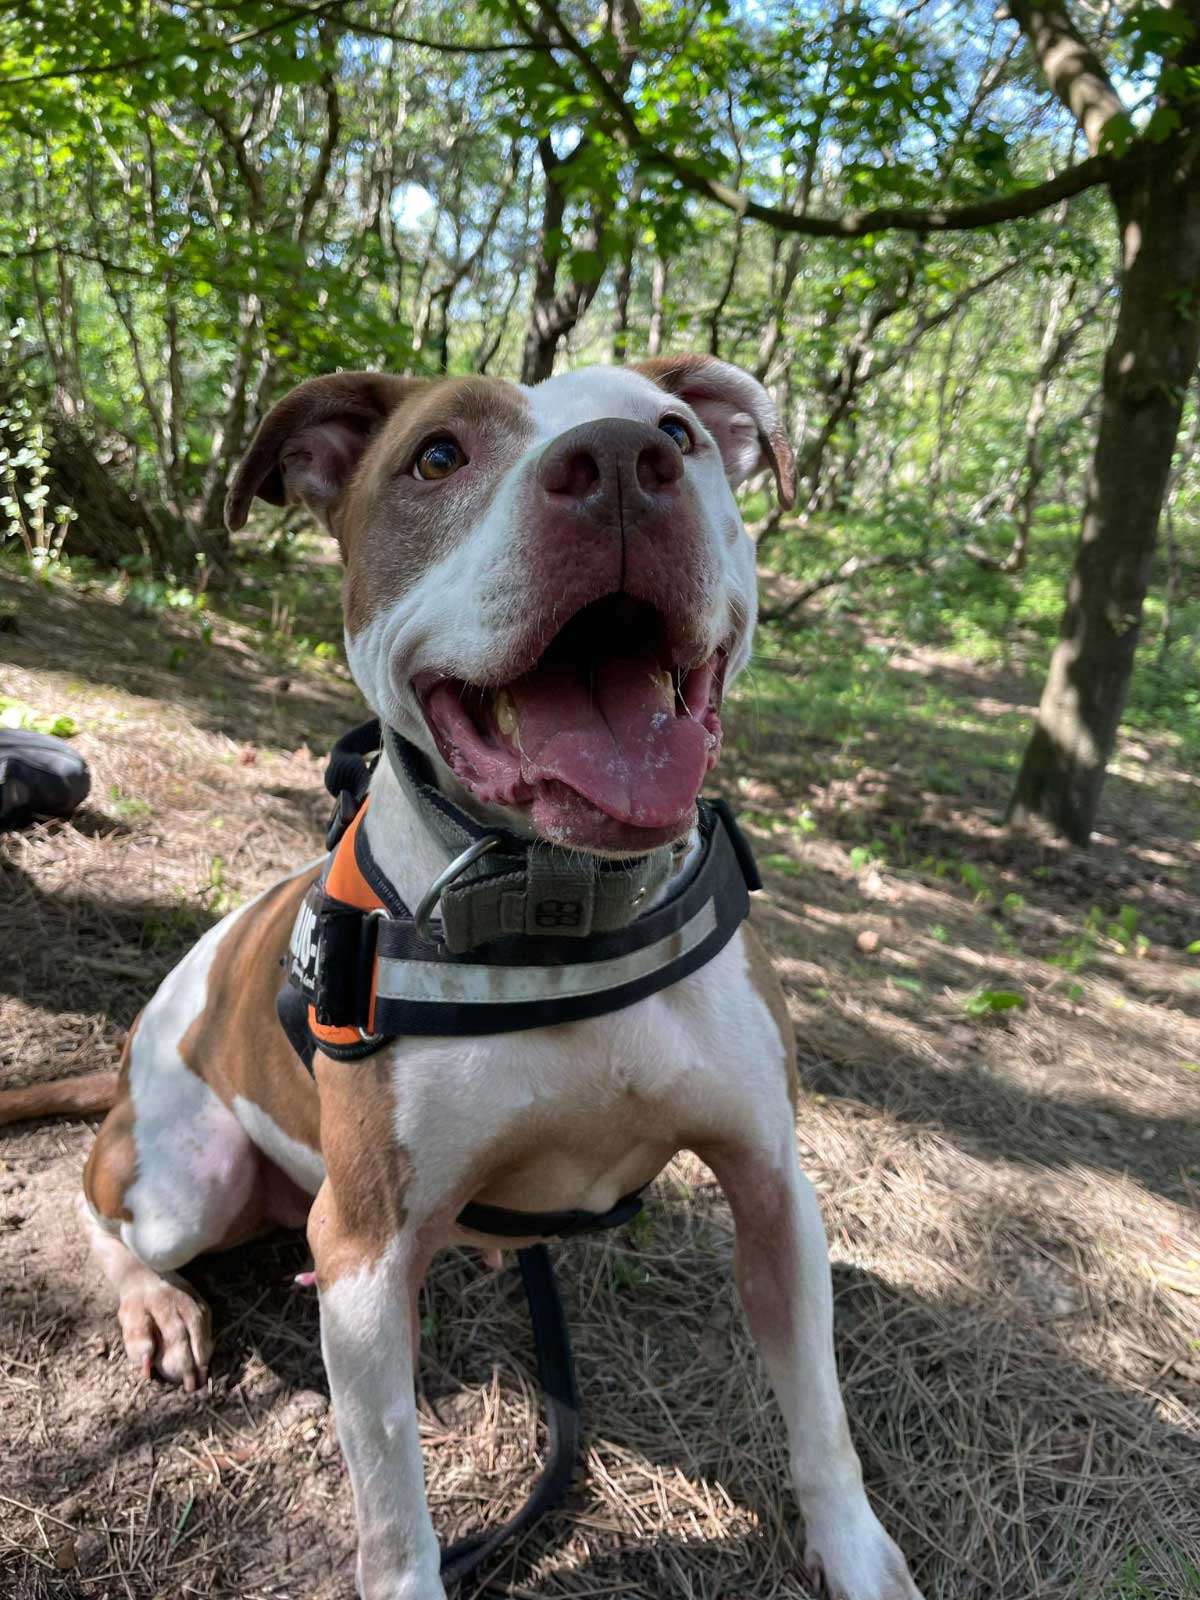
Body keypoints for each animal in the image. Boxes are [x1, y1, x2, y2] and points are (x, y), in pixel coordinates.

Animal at [14, 360, 928, 1600]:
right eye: (437, 456)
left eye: (679, 431)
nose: (621, 464)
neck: (559, 903)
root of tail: (125, 1053)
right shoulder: (362, 1254)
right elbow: (396, 1519)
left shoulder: (773, 1186)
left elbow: (822, 1416)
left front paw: (857, 1553)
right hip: (188, 1178)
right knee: (101, 1203)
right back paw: (155, 1302)